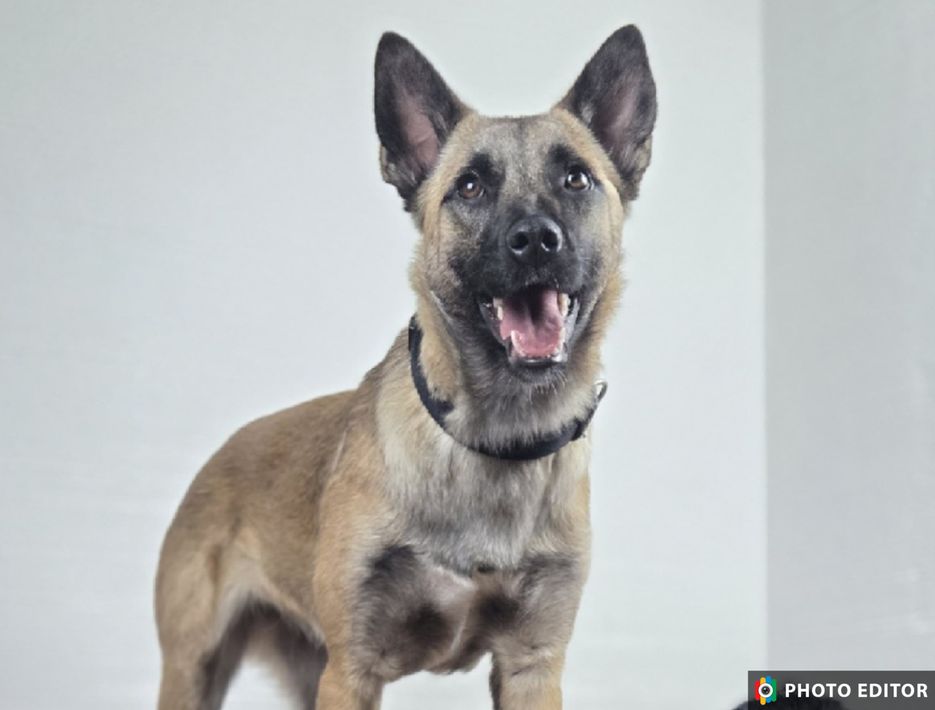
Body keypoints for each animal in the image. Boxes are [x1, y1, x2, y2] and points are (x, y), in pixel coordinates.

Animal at [155, 25, 656, 710]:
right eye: (469, 187)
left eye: (576, 179)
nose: (535, 239)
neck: (492, 441)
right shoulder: (352, 671)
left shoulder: (532, 666)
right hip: (196, 669)